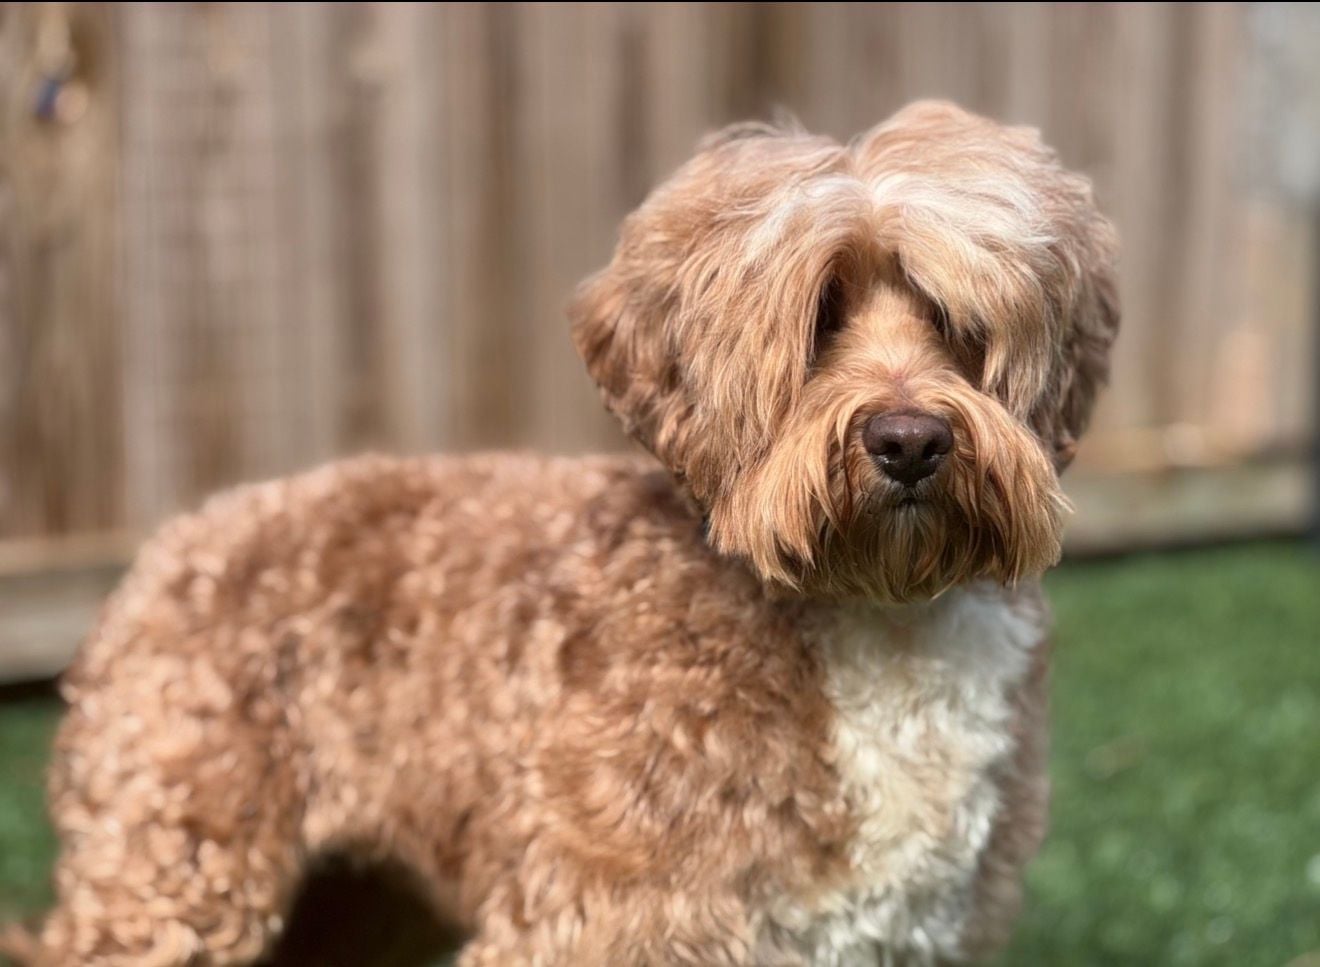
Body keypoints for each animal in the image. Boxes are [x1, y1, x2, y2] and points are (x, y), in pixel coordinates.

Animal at [28, 100, 1117, 965]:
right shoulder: (592, 921)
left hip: (360, 895)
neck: (873, 614)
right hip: (174, 856)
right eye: (819, 318)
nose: (910, 440)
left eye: (962, 326)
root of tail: (172, 541)